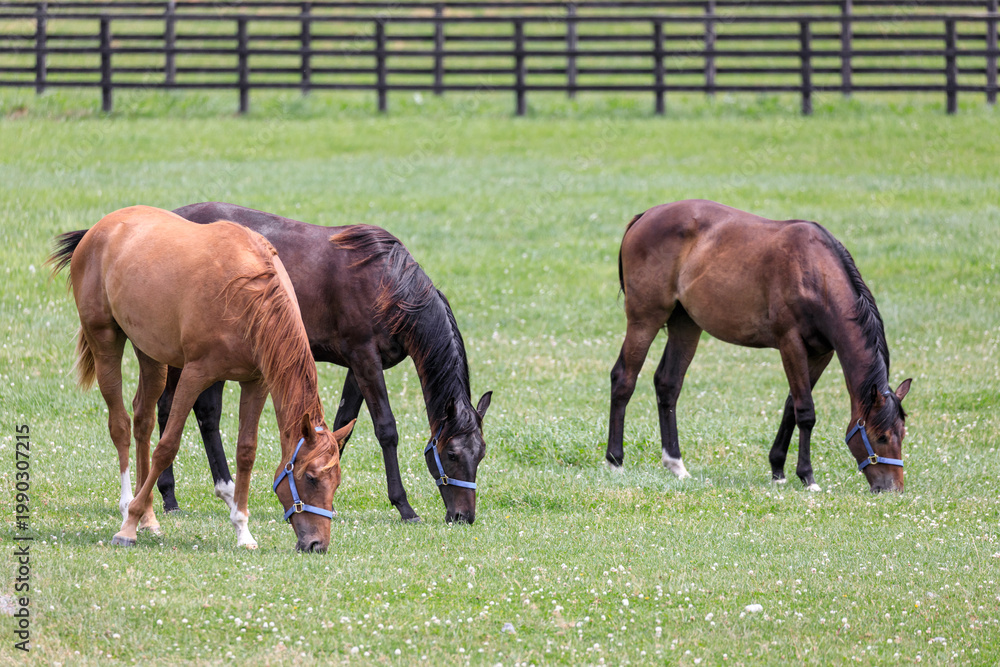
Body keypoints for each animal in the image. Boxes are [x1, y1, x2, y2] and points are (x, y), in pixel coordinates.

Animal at [48, 206, 355, 551]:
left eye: (337, 482)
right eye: (311, 478)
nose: (318, 544)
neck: (248, 293)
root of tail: (101, 227)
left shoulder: (256, 382)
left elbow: (246, 451)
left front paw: (243, 530)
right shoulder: (195, 375)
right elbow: (167, 446)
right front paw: (127, 527)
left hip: (151, 354)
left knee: (143, 421)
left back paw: (149, 517)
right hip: (104, 341)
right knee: (121, 425)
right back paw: (129, 508)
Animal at [154, 202, 492, 524]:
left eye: (481, 454)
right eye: (451, 454)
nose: (463, 516)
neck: (387, 283)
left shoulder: (360, 367)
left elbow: (343, 425)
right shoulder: (364, 358)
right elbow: (386, 429)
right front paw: (404, 507)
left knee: (204, 414)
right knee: (173, 408)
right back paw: (170, 496)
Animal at [607, 200, 911, 493]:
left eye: (903, 434)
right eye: (880, 436)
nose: (893, 488)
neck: (816, 273)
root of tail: (646, 215)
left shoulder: (821, 353)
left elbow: (791, 406)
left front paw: (778, 470)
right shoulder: (790, 343)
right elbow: (805, 411)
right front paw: (807, 476)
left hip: (686, 324)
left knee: (668, 383)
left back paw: (676, 464)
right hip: (645, 319)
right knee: (624, 378)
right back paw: (615, 461)